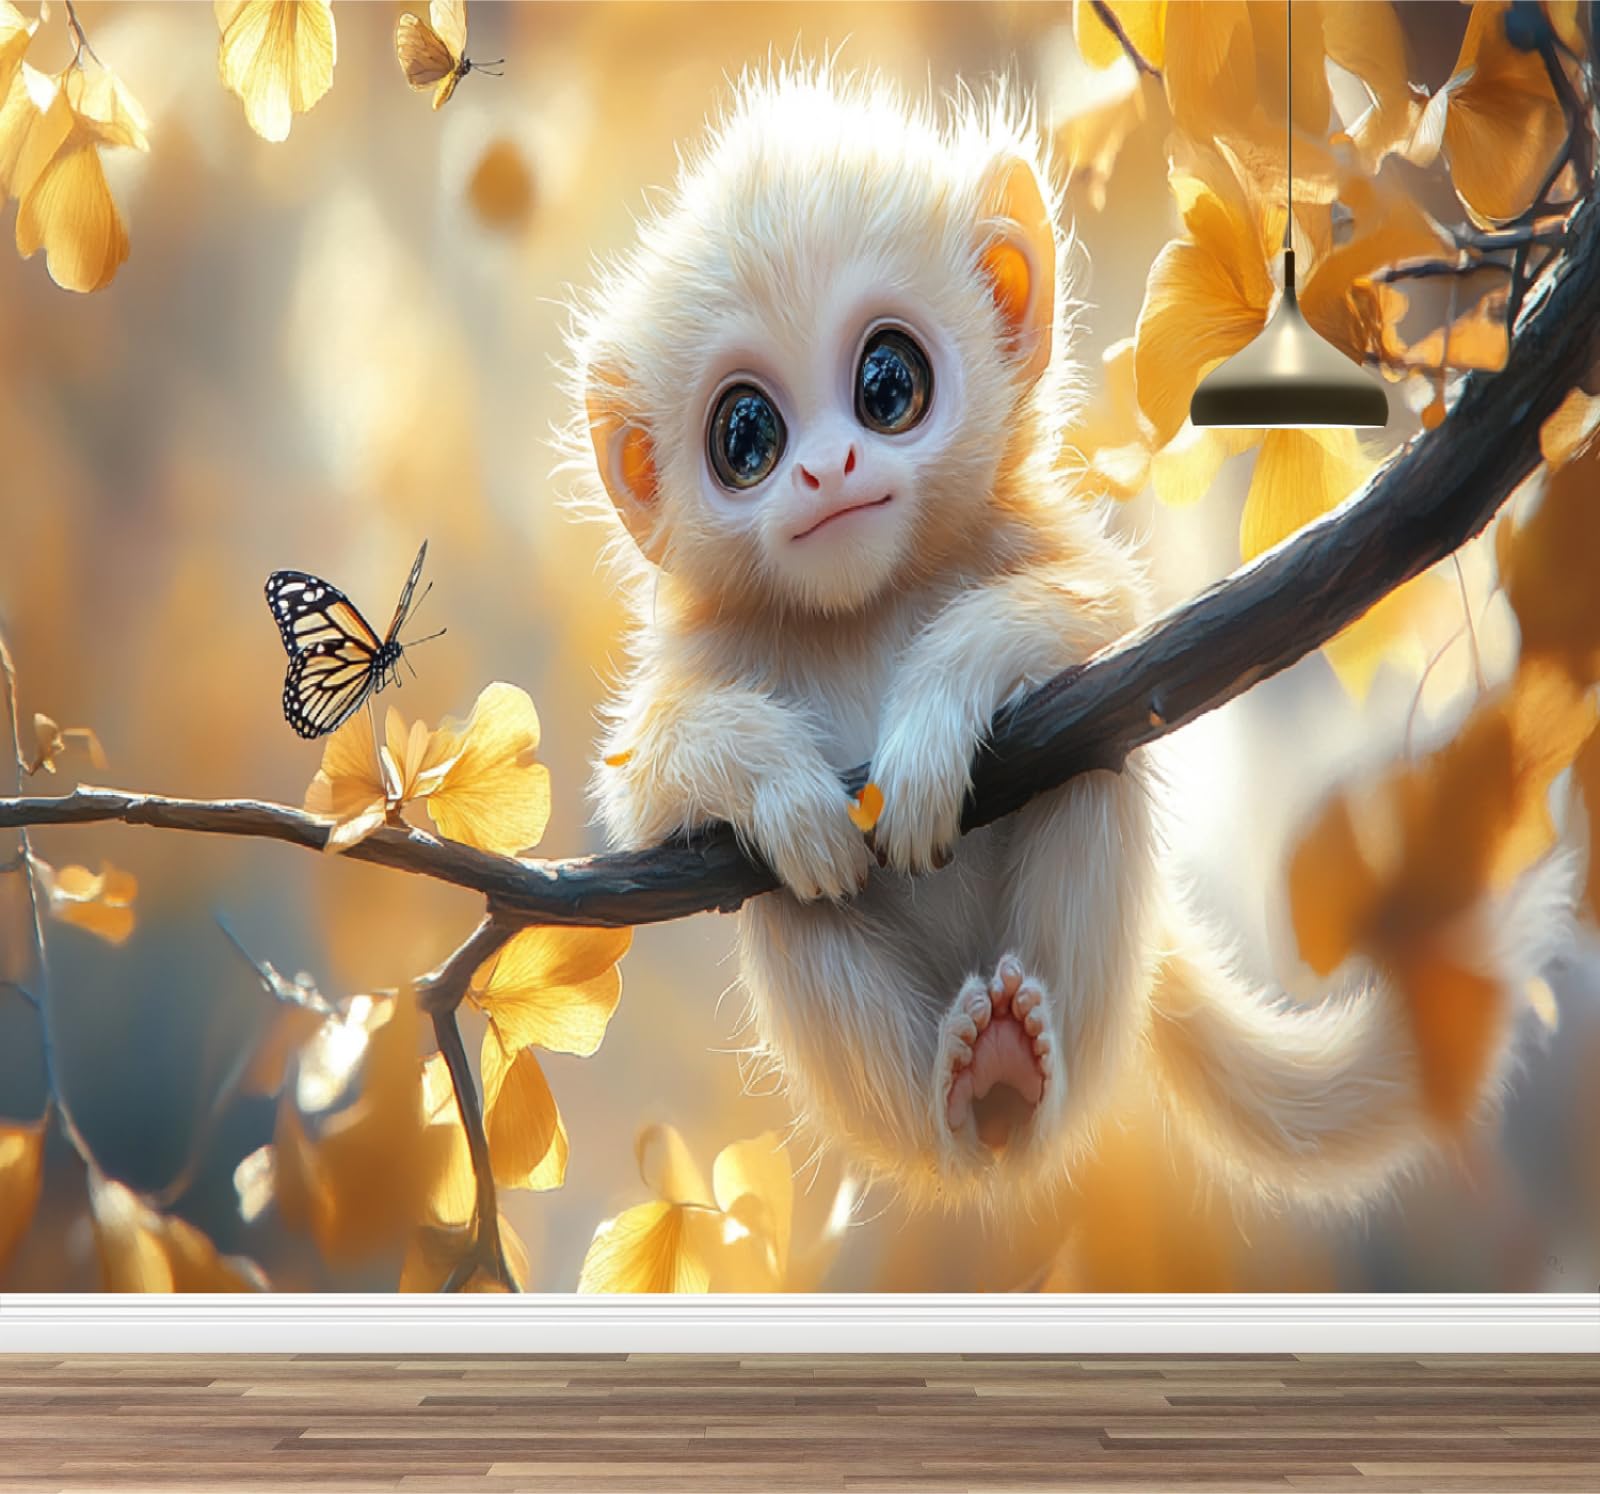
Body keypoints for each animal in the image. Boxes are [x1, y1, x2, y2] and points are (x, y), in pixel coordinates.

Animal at [563, 62, 1568, 1214]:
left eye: (886, 385)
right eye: (746, 438)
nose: (824, 470)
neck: (868, 604)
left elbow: (1102, 614)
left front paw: (926, 741)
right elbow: (645, 789)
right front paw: (785, 792)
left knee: (1090, 773)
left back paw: (1016, 1068)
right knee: (789, 908)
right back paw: (968, 1085)